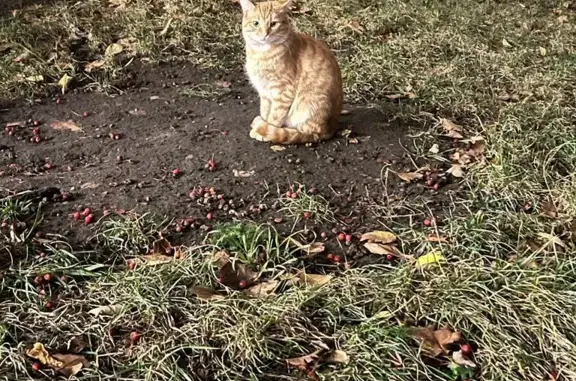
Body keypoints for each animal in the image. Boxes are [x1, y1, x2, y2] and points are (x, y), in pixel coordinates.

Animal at [238, 0, 342, 144]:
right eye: (256, 23)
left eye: (273, 24)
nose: (265, 34)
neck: (261, 54)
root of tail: (330, 128)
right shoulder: (264, 93)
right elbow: (265, 112)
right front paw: (261, 126)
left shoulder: (283, 91)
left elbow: (274, 117)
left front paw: (264, 132)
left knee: (306, 132)